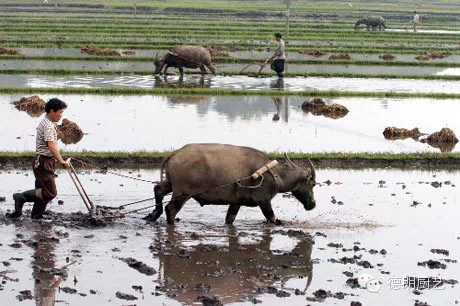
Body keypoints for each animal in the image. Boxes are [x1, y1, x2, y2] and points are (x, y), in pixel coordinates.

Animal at [145, 143, 316, 225]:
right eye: (313, 184)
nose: (313, 204)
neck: (275, 174)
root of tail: (176, 153)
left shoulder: (236, 202)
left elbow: (229, 219)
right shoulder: (264, 201)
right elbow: (273, 219)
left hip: (171, 184)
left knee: (158, 189)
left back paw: (153, 214)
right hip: (183, 192)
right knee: (170, 209)